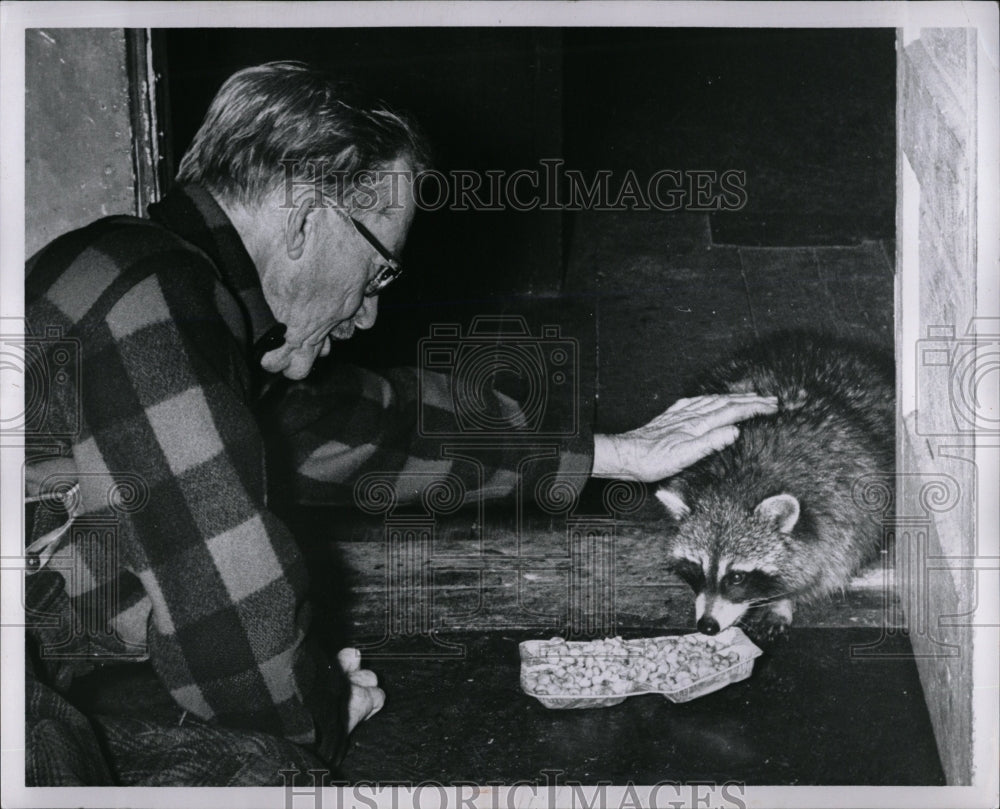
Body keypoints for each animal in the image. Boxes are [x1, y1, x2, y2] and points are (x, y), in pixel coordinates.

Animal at [656, 332, 900, 640]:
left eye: (737, 577)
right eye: (696, 570)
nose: (707, 626)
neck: (735, 485)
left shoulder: (844, 506)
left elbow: (822, 564)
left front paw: (784, 599)